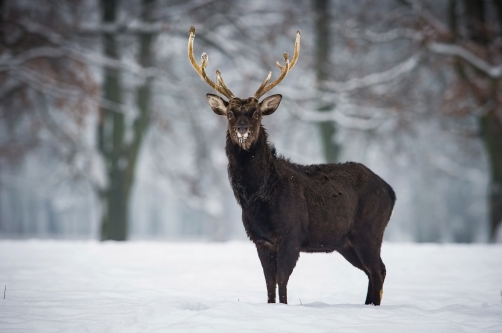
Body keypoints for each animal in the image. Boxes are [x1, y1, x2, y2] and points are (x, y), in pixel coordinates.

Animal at [187, 26, 396, 304]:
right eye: (230, 113)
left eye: (256, 113)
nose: (242, 129)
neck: (258, 195)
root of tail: (391, 191)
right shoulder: (260, 239)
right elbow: (269, 284)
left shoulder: (291, 234)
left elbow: (282, 281)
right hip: (346, 242)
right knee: (373, 272)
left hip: (369, 230)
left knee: (379, 269)